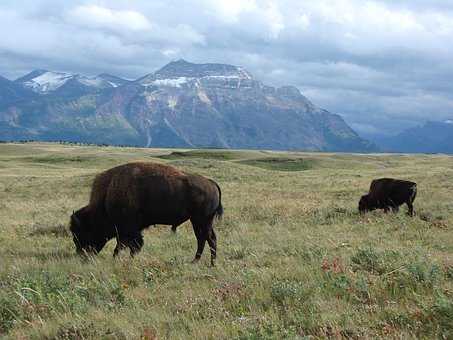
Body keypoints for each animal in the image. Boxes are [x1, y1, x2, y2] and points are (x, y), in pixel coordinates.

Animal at [69, 162, 223, 266]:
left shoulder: (128, 230)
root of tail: (211, 182)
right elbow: (126, 245)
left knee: (209, 239)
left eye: (81, 233)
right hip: (197, 221)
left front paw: (121, 259)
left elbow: (129, 246)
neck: (107, 196)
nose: (82, 256)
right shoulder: (127, 231)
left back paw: (211, 264)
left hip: (202, 220)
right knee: (202, 239)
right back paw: (196, 261)